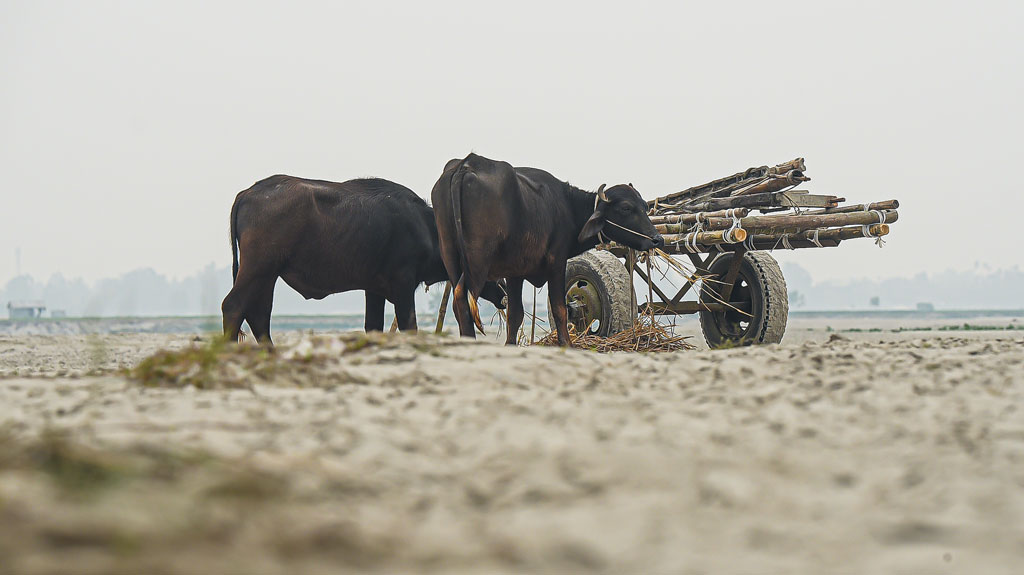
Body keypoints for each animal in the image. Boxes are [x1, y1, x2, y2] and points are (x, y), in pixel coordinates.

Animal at [225, 174, 507, 341]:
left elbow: (373, 326)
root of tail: (247, 193)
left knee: (259, 315)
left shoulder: (374, 290)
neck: (426, 228)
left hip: (267, 275)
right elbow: (409, 326)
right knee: (234, 306)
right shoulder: (403, 286)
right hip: (258, 269)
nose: (504, 295)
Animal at [432, 152, 663, 347]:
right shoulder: (556, 262)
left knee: (458, 301)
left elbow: (515, 313)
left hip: (451, 257)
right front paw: (567, 343)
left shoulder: (515, 272)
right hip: (478, 260)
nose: (657, 239)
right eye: (626, 207)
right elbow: (560, 308)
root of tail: (466, 165)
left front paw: (510, 345)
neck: (567, 207)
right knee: (462, 296)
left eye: (644, 206)